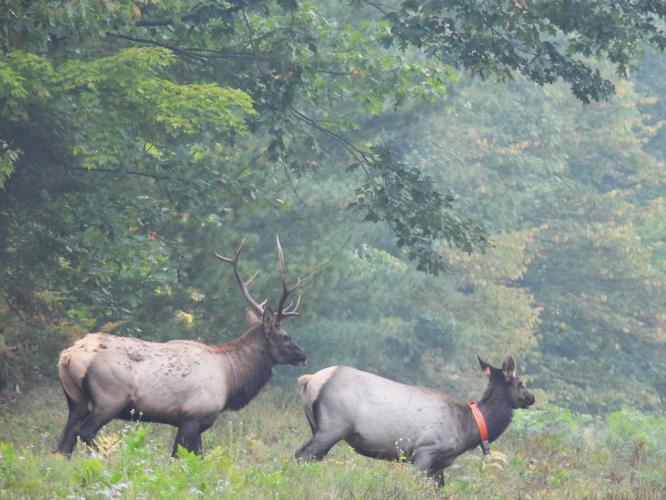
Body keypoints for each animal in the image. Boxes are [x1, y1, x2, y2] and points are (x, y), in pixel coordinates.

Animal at [56, 235, 306, 457]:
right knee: (84, 432)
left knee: (63, 443)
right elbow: (179, 457)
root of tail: (67, 357)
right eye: (285, 336)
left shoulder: (195, 422)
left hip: (76, 401)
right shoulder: (192, 417)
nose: (303, 355)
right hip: (109, 399)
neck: (230, 379)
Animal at [295, 356, 535, 486]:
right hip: (333, 427)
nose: (532, 398)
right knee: (303, 455)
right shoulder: (425, 451)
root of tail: (309, 379)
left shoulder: (439, 465)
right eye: (520, 382)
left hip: (317, 426)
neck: (469, 429)